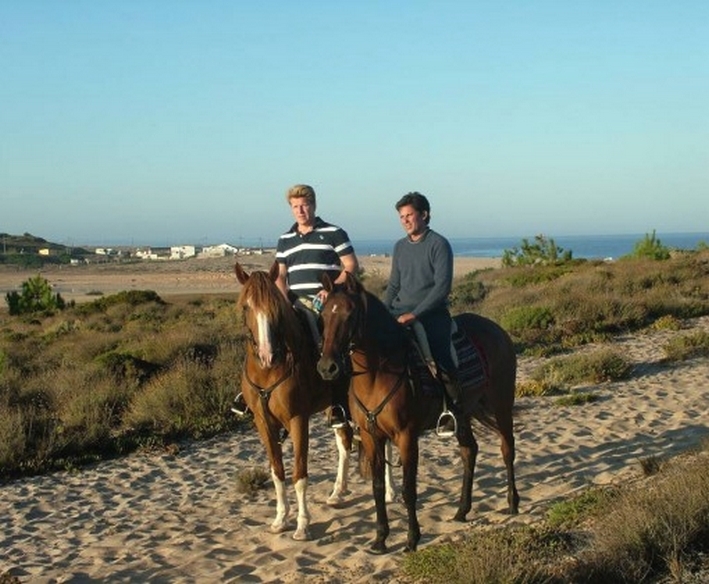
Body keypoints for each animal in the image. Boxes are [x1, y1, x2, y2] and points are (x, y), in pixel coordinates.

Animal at [234, 262, 352, 540]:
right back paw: (337, 492)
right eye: (246, 307)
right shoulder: (263, 423)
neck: (269, 372)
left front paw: (302, 524)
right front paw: (280, 519)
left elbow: (299, 474)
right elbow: (278, 472)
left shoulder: (298, 419)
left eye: (275, 308)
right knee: (344, 444)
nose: (267, 355)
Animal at [316, 272, 520, 552]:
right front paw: (380, 539)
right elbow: (378, 487)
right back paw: (462, 510)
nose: (328, 367)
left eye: (349, 314)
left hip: (501, 404)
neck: (378, 373)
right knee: (469, 452)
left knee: (507, 448)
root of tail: (498, 330)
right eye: (324, 315)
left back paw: (512, 503)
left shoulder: (406, 437)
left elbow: (408, 490)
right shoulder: (371, 436)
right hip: (465, 413)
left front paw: (412, 539)